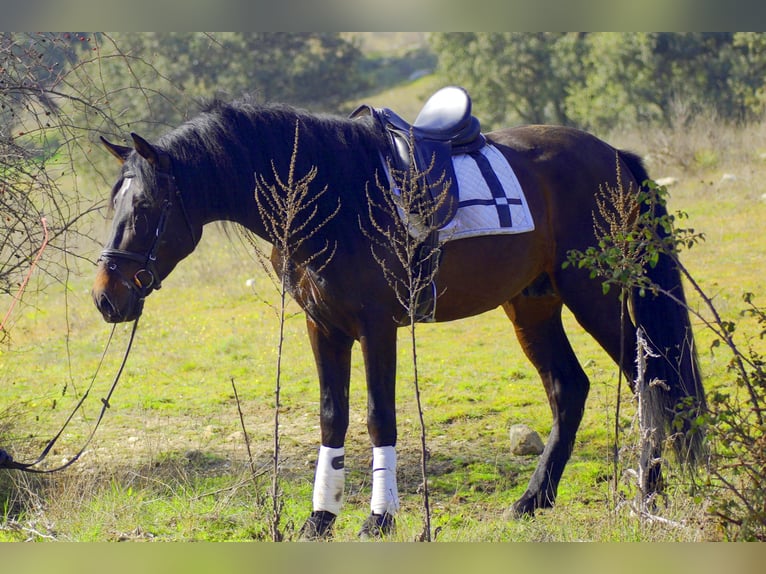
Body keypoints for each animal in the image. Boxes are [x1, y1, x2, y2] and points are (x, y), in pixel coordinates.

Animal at [91, 94, 708, 540]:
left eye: (144, 207)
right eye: (113, 205)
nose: (105, 297)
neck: (332, 195)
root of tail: (613, 156)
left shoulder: (376, 327)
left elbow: (377, 419)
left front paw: (379, 517)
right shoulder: (324, 328)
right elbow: (332, 418)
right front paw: (320, 518)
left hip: (596, 295)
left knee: (650, 380)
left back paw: (648, 495)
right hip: (533, 303)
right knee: (569, 389)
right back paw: (532, 501)